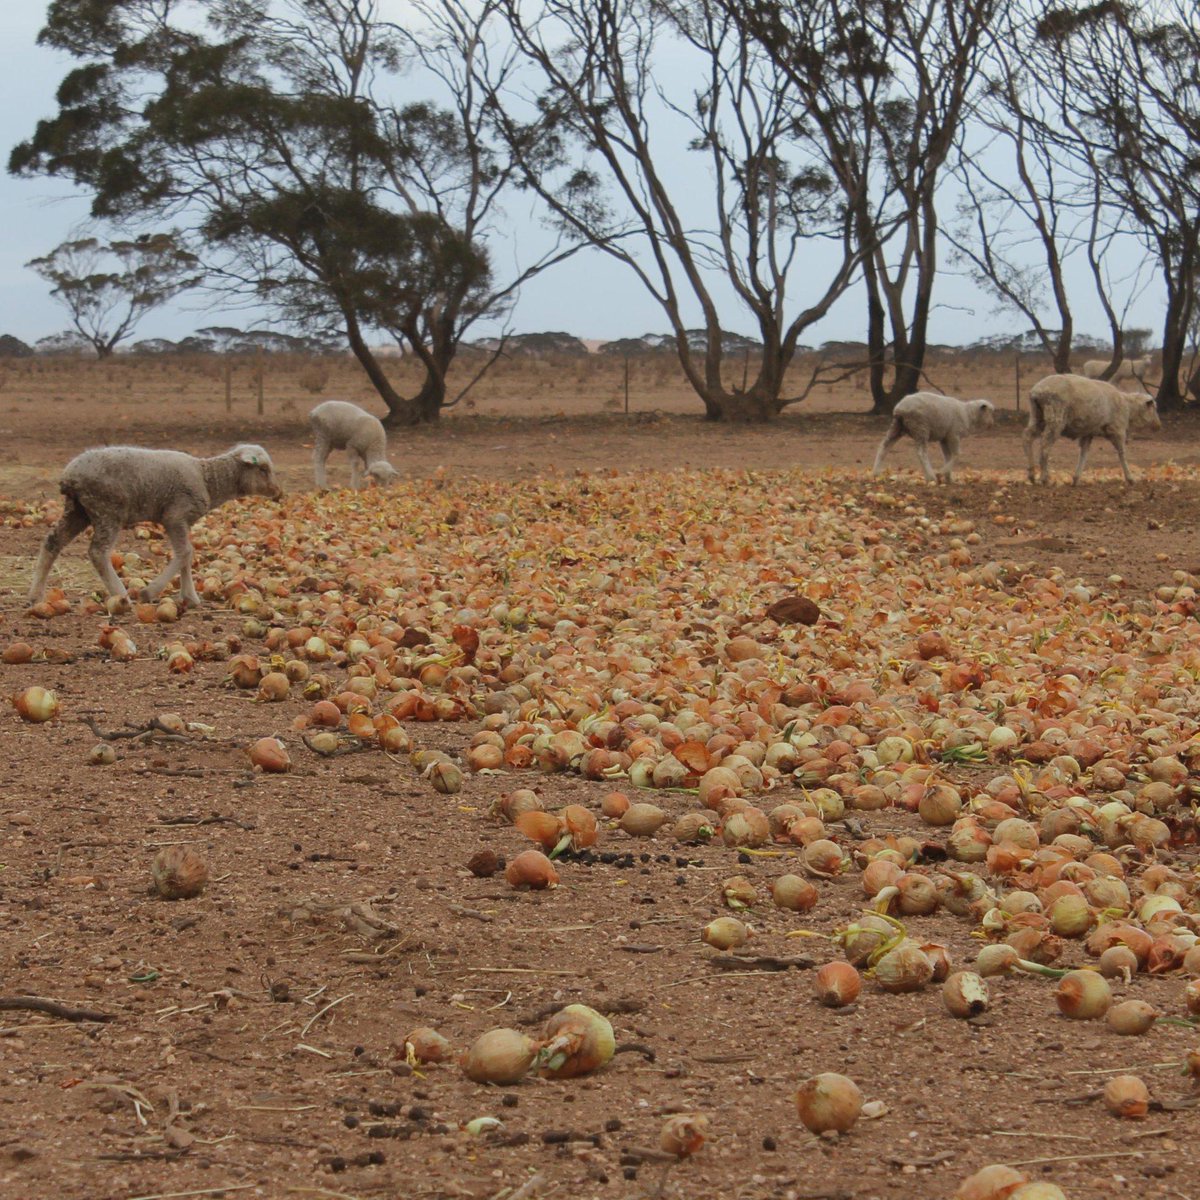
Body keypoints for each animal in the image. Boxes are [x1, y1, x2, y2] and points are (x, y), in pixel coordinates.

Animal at [29, 444, 282, 609]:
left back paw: (35, 595)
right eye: (263, 469)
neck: (209, 479)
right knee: (98, 552)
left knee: (52, 542)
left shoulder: (183, 521)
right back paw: (121, 594)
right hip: (107, 510)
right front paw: (149, 591)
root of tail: (69, 477)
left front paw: (190, 597)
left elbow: (187, 555)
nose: (278, 492)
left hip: (78, 511)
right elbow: (185, 553)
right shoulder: (175, 516)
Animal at [1022, 374, 1161, 487]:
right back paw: (1044, 478)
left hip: (1037, 416)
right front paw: (1130, 479)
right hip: (1055, 417)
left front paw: (1076, 479)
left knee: (1027, 437)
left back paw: (1032, 474)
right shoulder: (1118, 430)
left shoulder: (1088, 433)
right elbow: (1122, 453)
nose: (1159, 426)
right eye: (1153, 408)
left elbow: (1083, 453)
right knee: (1045, 446)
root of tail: (1037, 391)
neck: (1129, 407)